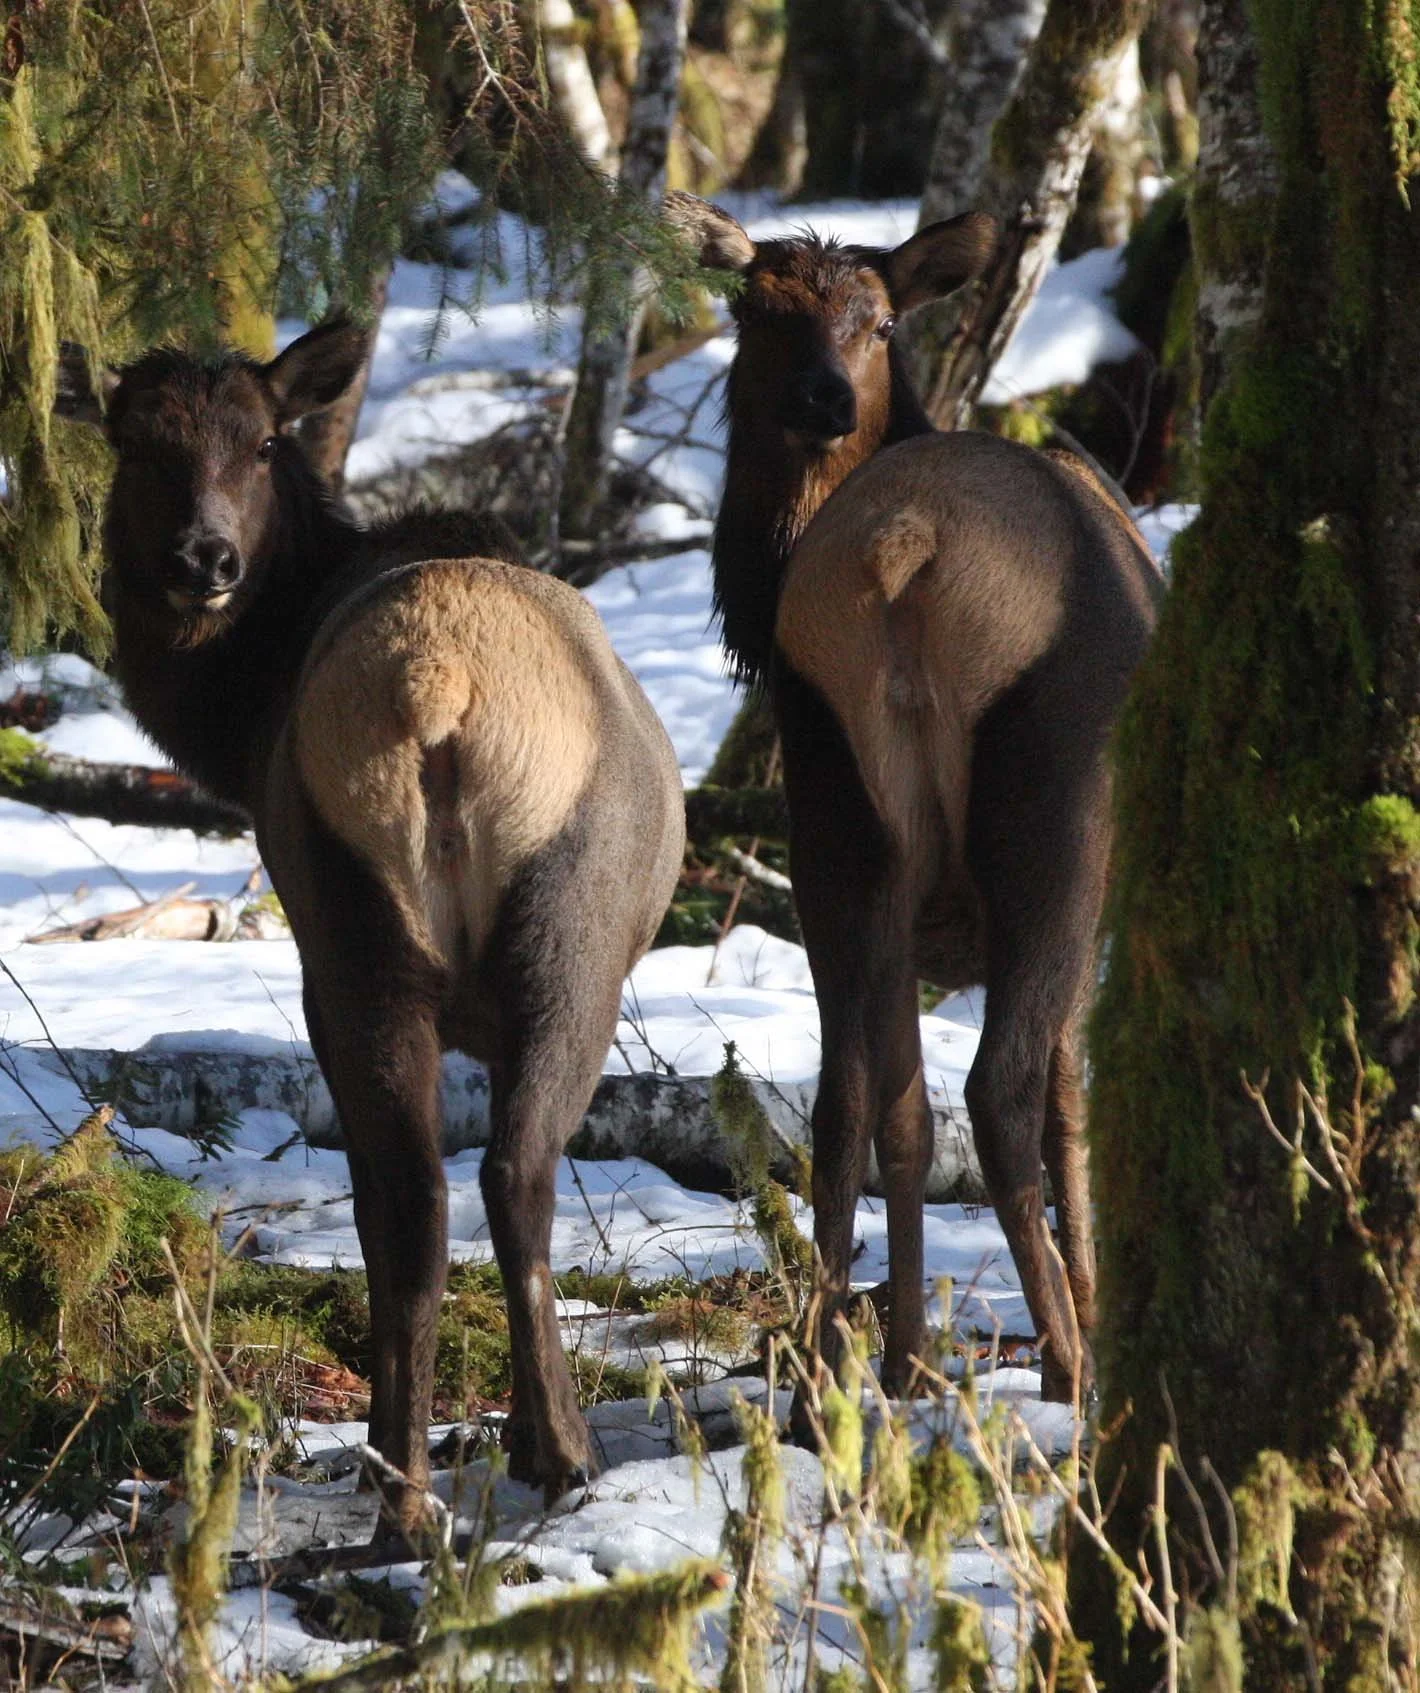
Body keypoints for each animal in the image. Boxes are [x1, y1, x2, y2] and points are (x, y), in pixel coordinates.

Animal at [56, 322, 685, 1539]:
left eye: (261, 441)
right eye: (136, 445)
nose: (204, 558)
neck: (236, 717)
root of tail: (439, 691)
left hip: (353, 932)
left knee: (416, 1194)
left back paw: (405, 1485)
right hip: (560, 939)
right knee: (493, 1179)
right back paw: (544, 1455)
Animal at [666, 193, 1162, 1404]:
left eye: (879, 321)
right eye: (754, 309)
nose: (824, 397)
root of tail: (906, 551)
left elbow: (897, 1110)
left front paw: (902, 1353)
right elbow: (1075, 1109)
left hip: (836, 812)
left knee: (844, 1094)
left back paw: (827, 1363)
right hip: (1055, 818)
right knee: (1002, 1091)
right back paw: (1067, 1364)